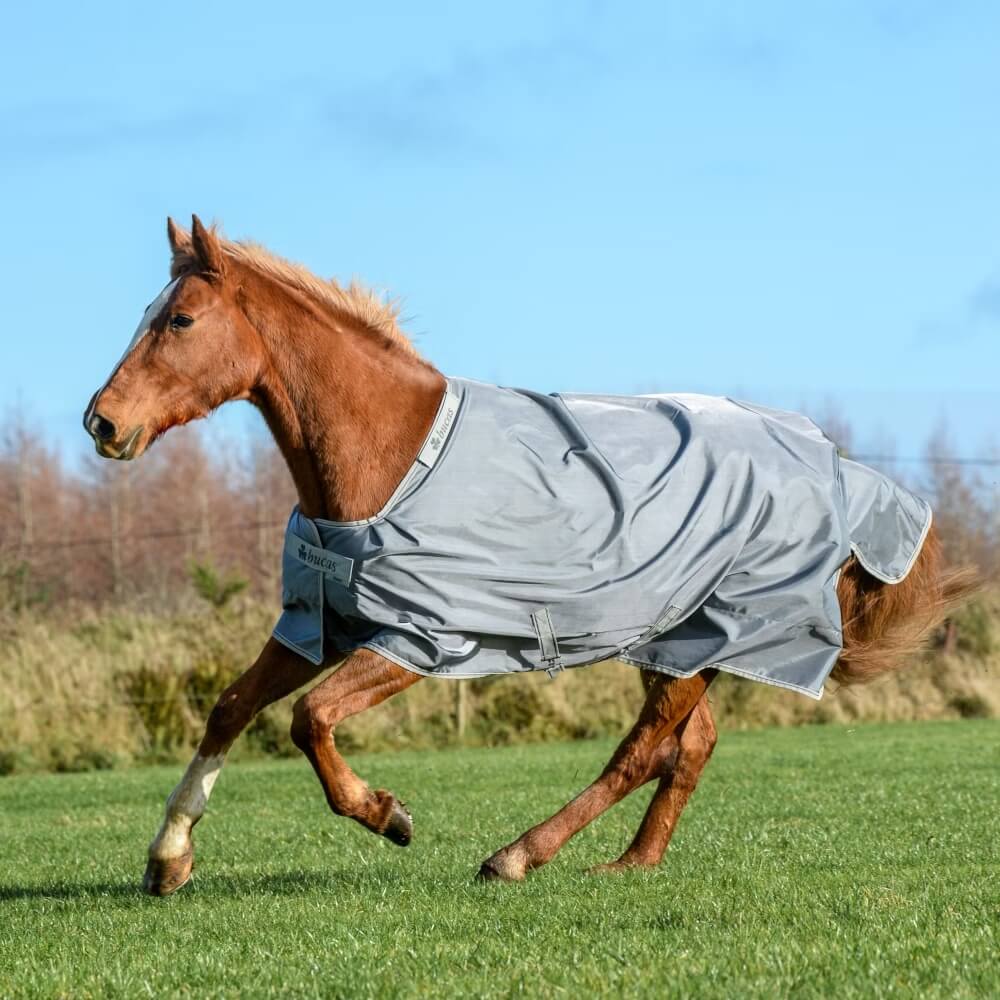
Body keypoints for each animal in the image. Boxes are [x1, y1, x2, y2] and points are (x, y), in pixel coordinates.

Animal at [84, 216, 973, 895]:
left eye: (179, 321)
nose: (102, 422)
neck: (391, 456)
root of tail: (837, 467)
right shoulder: (320, 624)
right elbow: (231, 706)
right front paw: (168, 861)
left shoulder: (420, 639)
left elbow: (310, 719)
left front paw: (388, 815)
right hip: (675, 642)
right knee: (688, 746)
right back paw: (632, 863)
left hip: (704, 636)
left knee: (641, 750)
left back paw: (517, 855)